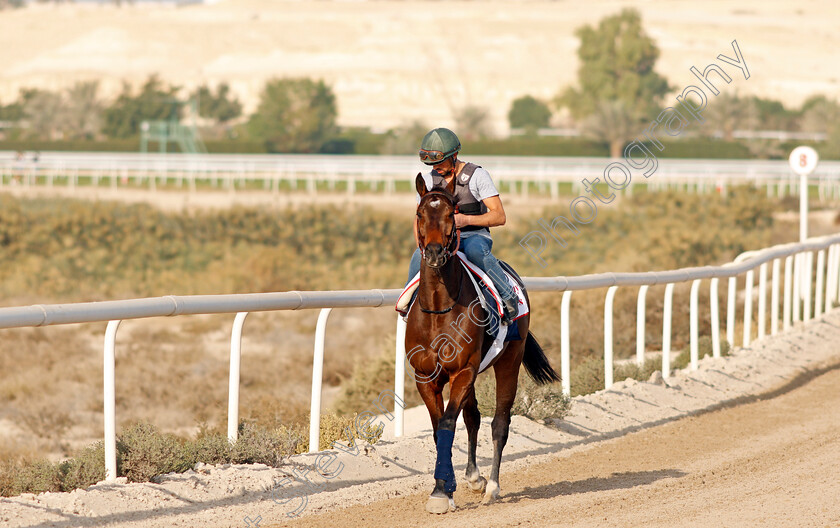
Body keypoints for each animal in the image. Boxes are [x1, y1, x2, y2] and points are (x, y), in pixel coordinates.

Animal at [406, 175, 556, 512]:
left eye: (451, 214)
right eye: (421, 213)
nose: (434, 253)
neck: (439, 309)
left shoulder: (463, 370)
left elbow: (448, 423)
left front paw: (440, 491)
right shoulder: (427, 376)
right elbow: (439, 427)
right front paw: (448, 486)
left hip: (508, 362)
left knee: (499, 423)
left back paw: (493, 486)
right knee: (473, 417)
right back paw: (475, 478)